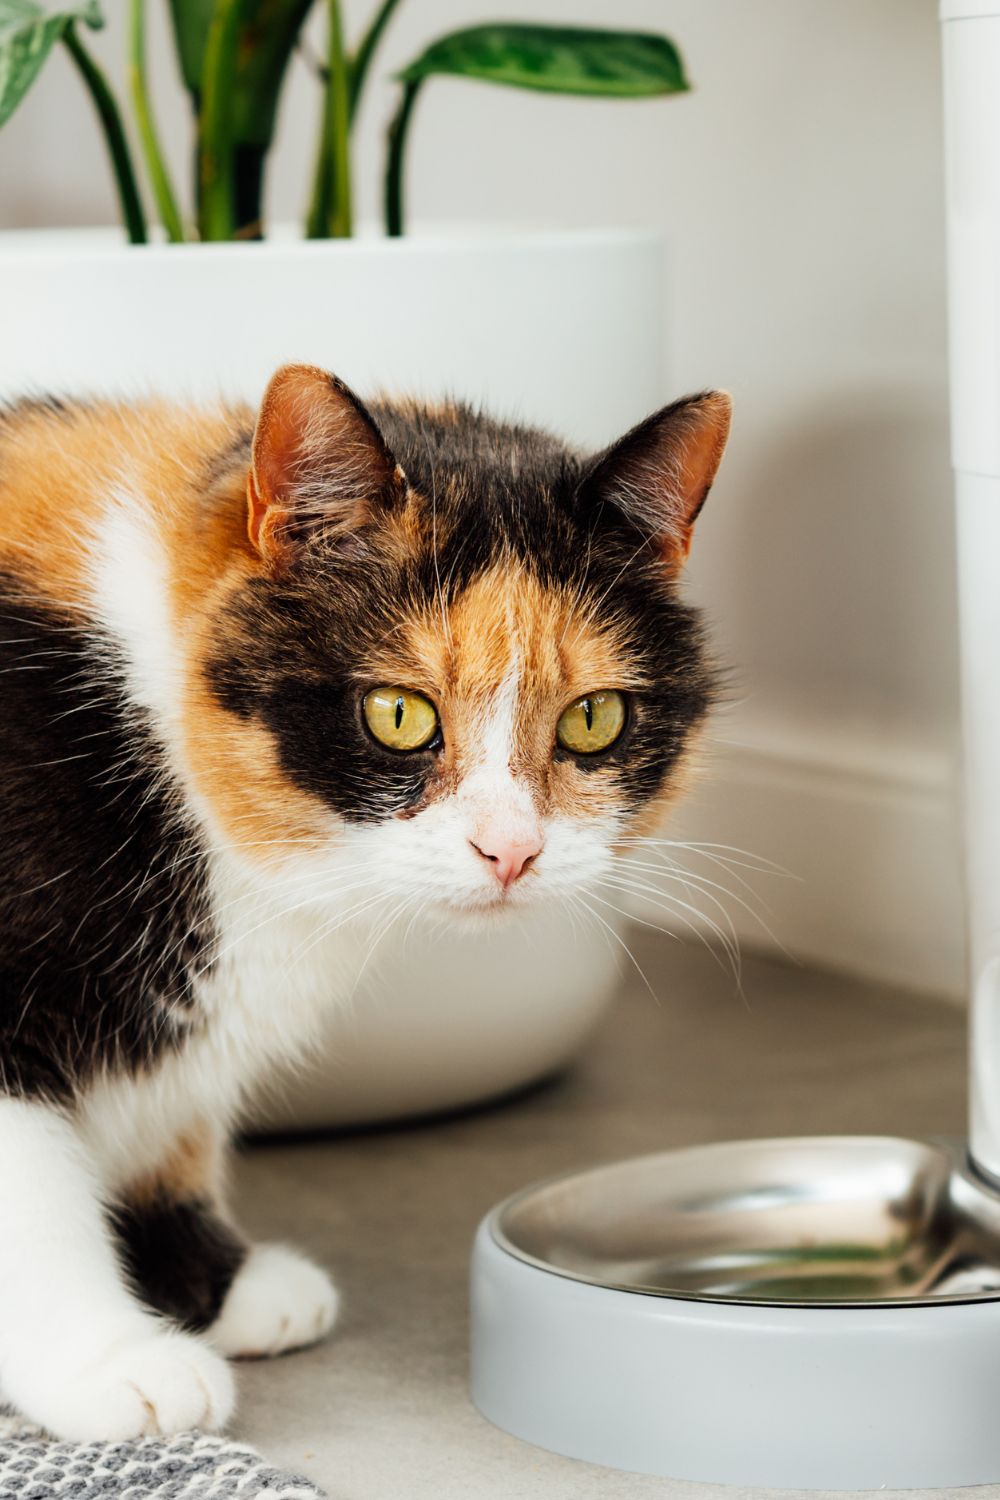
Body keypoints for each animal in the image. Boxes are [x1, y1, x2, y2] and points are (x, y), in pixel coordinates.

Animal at [0, 363, 731, 1440]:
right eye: (397, 714)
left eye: (594, 718)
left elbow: (171, 1122)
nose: (511, 849)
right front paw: (112, 1362)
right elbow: (31, 1192)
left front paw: (216, 1286)